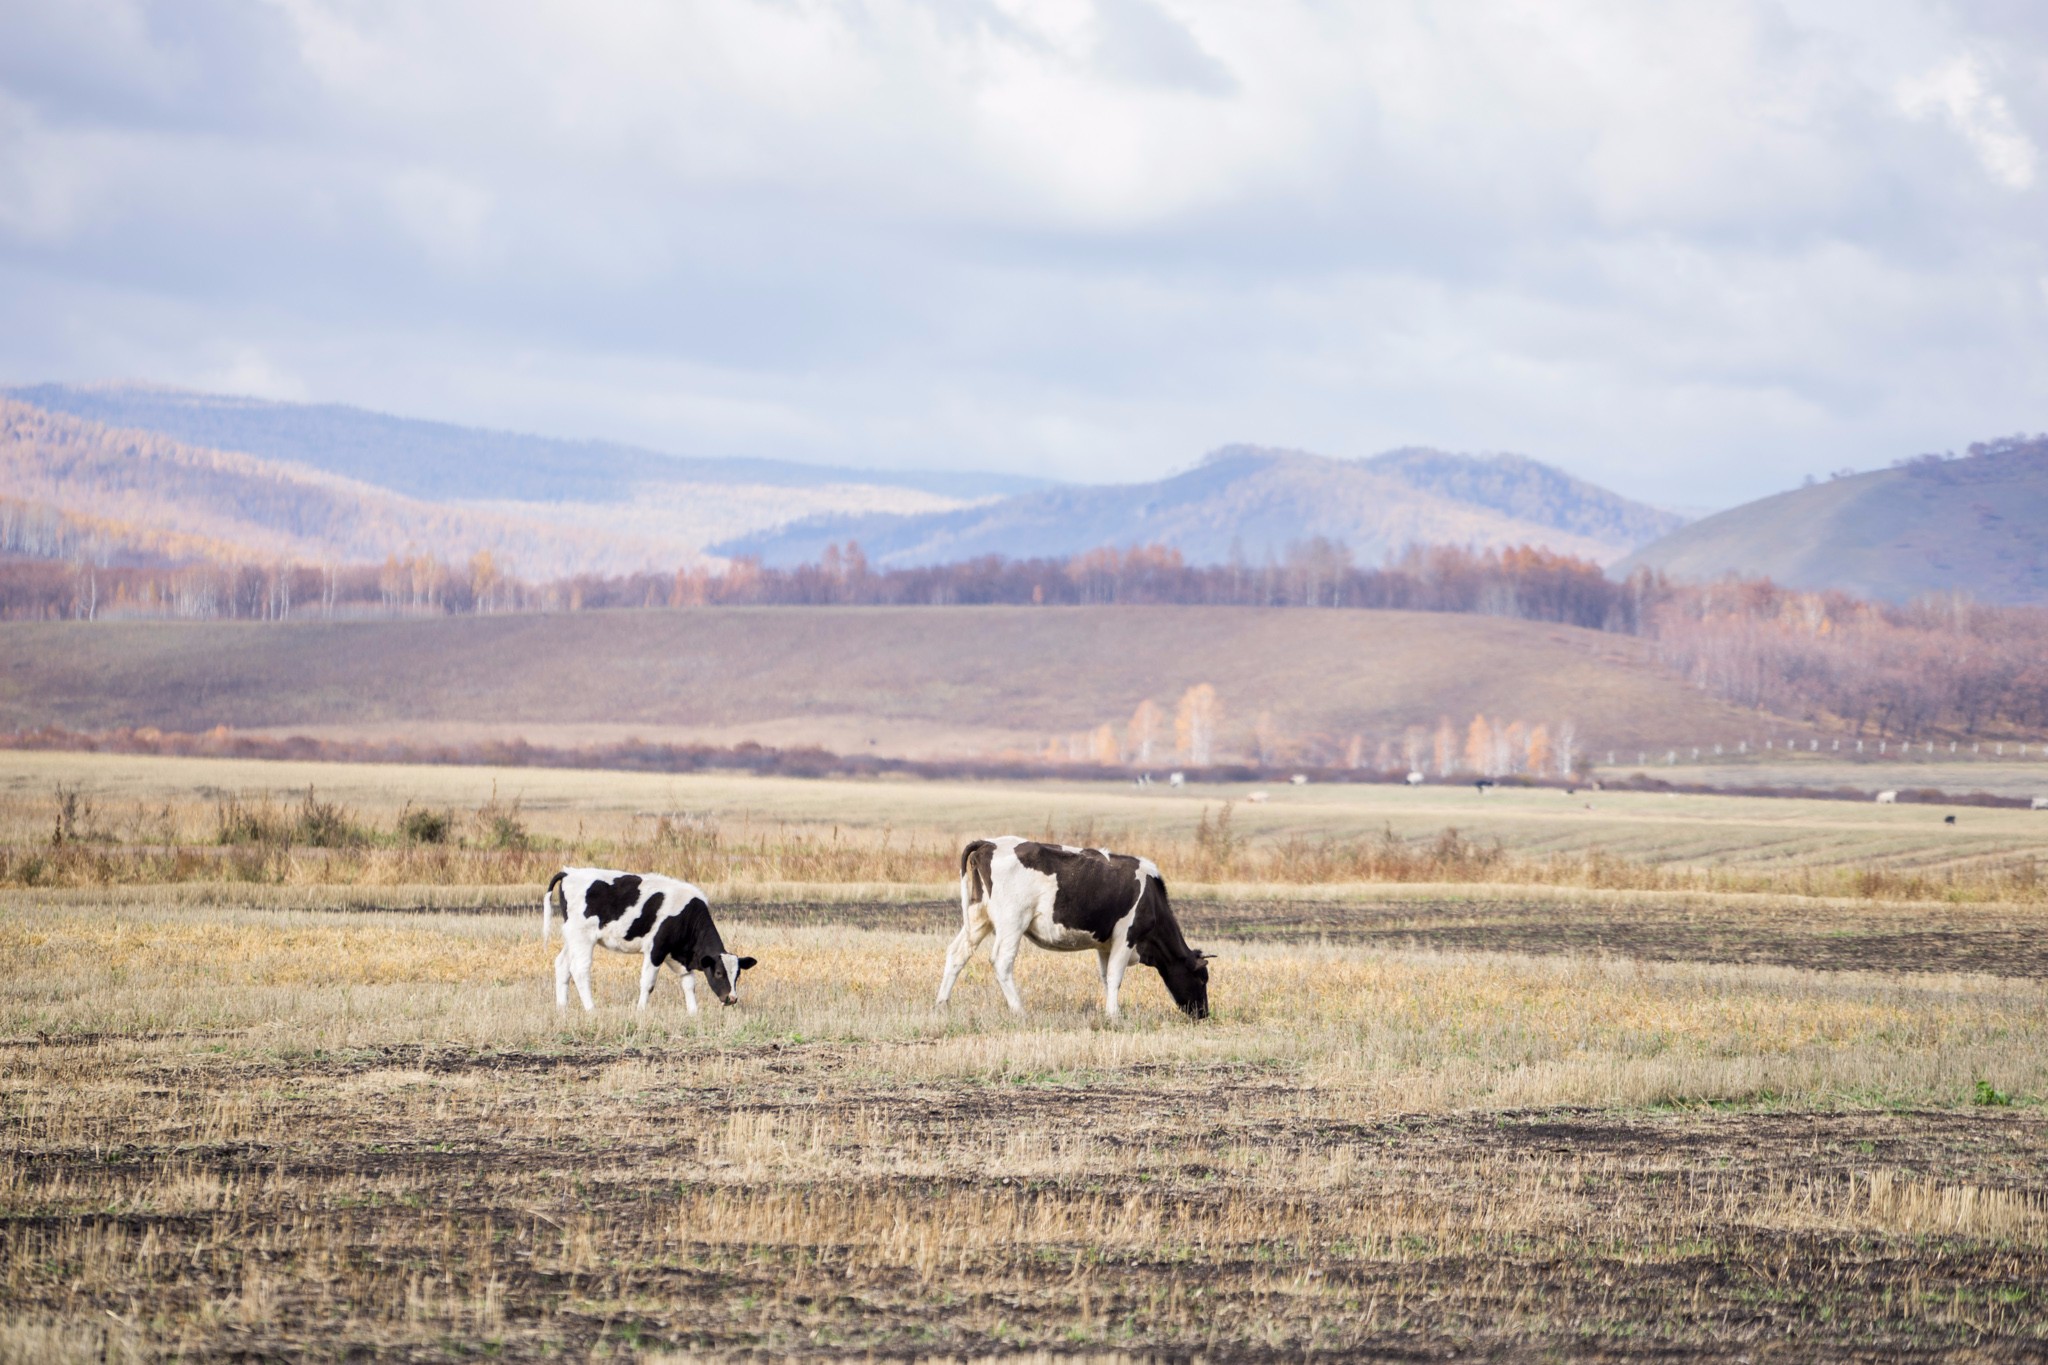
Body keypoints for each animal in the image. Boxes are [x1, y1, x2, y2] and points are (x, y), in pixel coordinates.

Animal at [544, 871, 761, 1010]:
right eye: (718, 973)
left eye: (738, 975)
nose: (732, 998)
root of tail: (570, 872)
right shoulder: (656, 949)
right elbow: (648, 983)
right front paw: (641, 1010)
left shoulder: (680, 957)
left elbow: (689, 984)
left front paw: (693, 1013)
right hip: (583, 937)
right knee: (580, 970)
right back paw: (591, 1009)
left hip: (572, 937)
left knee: (562, 965)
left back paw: (562, 1008)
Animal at [942, 839, 1212, 1019]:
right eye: (1202, 978)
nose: (1204, 1014)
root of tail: (990, 843)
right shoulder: (1126, 936)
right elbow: (1115, 976)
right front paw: (1114, 1016)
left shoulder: (1106, 945)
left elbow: (1106, 977)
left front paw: (1109, 1010)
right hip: (1012, 922)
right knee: (1001, 961)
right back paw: (1020, 1011)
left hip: (979, 917)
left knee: (957, 954)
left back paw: (941, 1003)